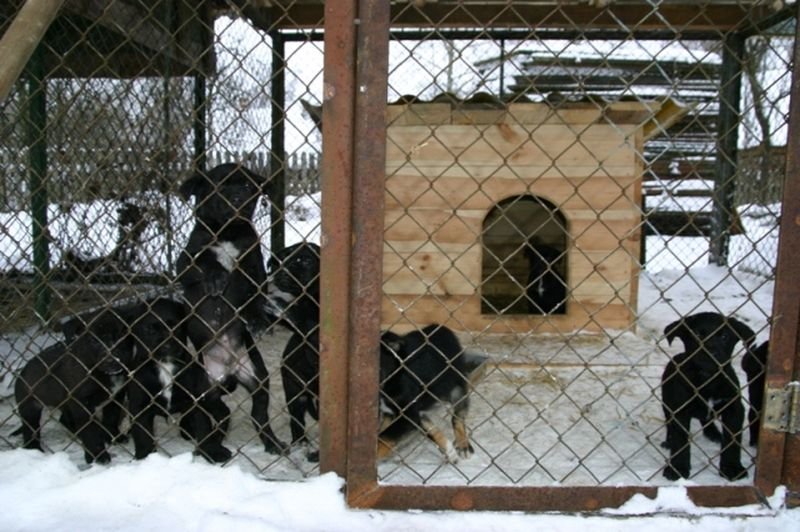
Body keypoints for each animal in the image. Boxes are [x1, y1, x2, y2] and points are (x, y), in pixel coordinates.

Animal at [13, 312, 135, 464]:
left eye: (121, 336)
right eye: (93, 341)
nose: (111, 361)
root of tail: (22, 371)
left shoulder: (116, 395)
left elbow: (111, 417)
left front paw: (113, 436)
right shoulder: (81, 403)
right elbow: (90, 431)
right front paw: (97, 455)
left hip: (64, 402)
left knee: (64, 419)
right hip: (29, 407)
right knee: (29, 430)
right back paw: (34, 449)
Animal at [176, 163, 285, 454]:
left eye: (248, 186)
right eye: (220, 186)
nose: (238, 197)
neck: (228, 232)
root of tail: (228, 373)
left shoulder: (255, 269)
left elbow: (253, 297)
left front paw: (256, 320)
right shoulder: (185, 262)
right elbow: (207, 260)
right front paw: (217, 277)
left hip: (258, 379)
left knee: (257, 413)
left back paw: (272, 442)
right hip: (202, 387)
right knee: (208, 416)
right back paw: (211, 450)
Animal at [266, 241, 322, 459]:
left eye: (305, 260)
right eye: (283, 259)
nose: (279, 274)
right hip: (295, 392)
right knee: (296, 421)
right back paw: (301, 443)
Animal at [378, 324, 487, 462]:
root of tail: (441, 327)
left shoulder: (408, 413)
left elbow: (384, 437)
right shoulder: (401, 412)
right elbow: (429, 428)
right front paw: (449, 450)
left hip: (457, 387)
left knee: (457, 417)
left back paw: (463, 445)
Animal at [660, 312, 755, 481]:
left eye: (724, 336)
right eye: (697, 334)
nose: (710, 352)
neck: (707, 379)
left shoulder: (734, 408)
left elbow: (732, 440)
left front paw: (732, 468)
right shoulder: (680, 410)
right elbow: (681, 440)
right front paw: (677, 468)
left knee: (707, 420)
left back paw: (714, 434)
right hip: (667, 403)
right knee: (670, 425)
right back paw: (668, 442)